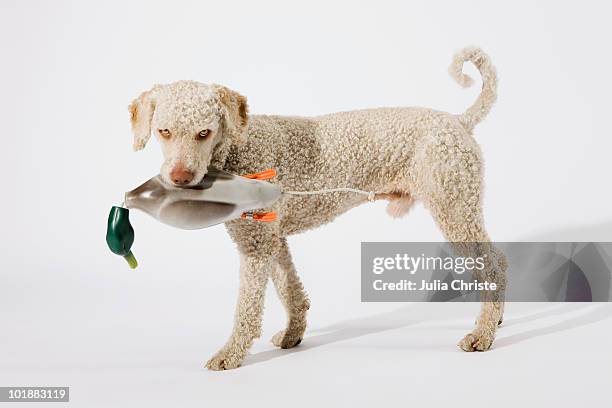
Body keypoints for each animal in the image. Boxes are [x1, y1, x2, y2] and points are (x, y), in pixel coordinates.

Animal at [129, 46, 506, 372]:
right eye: (164, 131)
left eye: (204, 132)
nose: (180, 177)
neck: (240, 148)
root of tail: (458, 121)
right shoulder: (273, 238)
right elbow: (291, 290)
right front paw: (293, 334)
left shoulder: (255, 245)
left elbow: (247, 308)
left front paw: (231, 353)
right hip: (462, 207)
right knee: (497, 260)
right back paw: (497, 317)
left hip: (453, 206)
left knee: (491, 265)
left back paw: (482, 333)